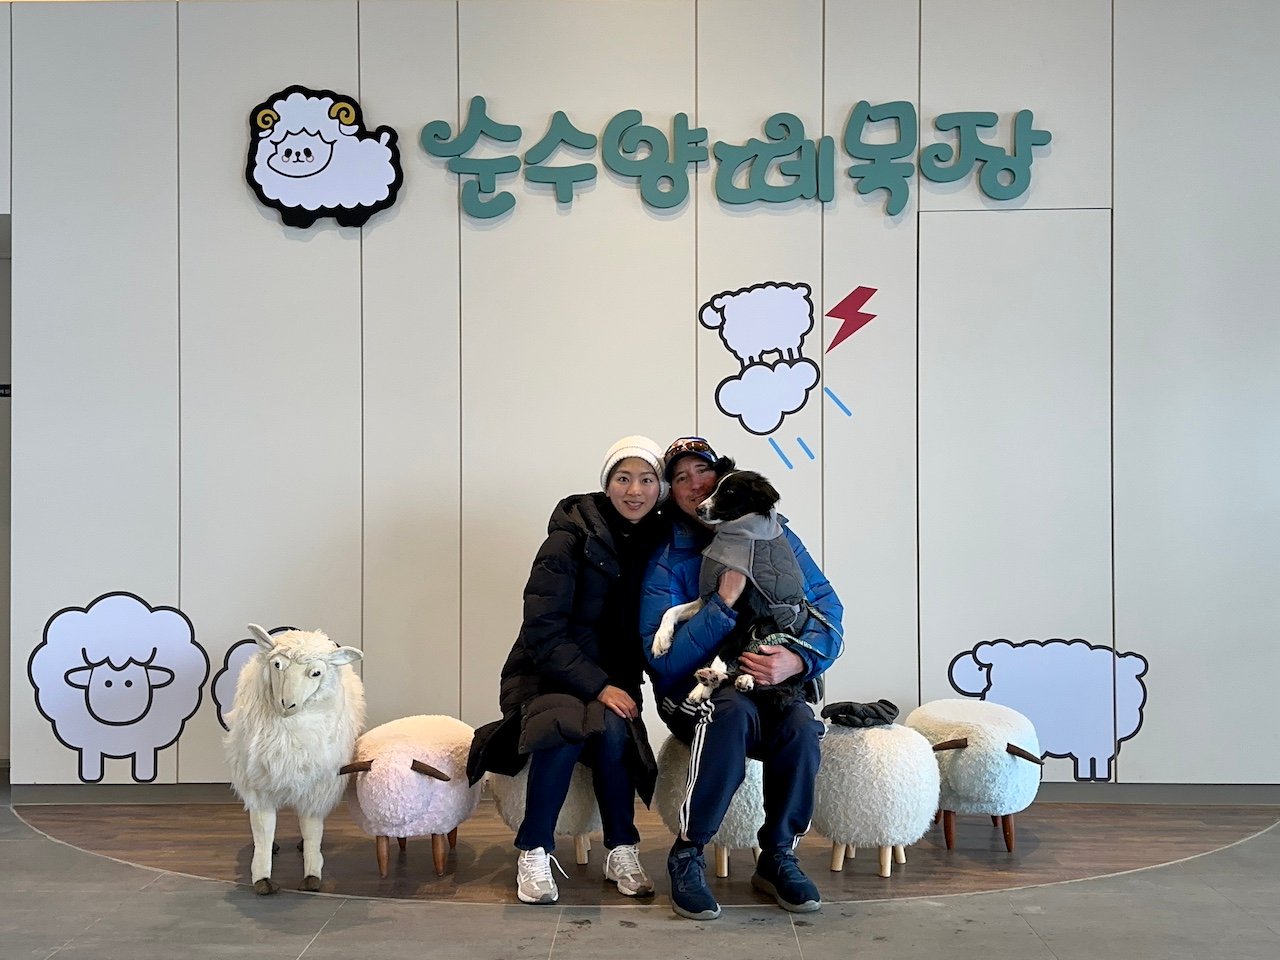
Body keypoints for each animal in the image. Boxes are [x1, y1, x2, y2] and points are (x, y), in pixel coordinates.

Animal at [650, 458, 808, 706]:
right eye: (714, 487)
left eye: (730, 492)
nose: (699, 509)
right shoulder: (712, 599)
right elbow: (671, 610)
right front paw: (661, 640)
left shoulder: (749, 613)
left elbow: (725, 648)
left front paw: (709, 681)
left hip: (768, 627)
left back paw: (730, 680)